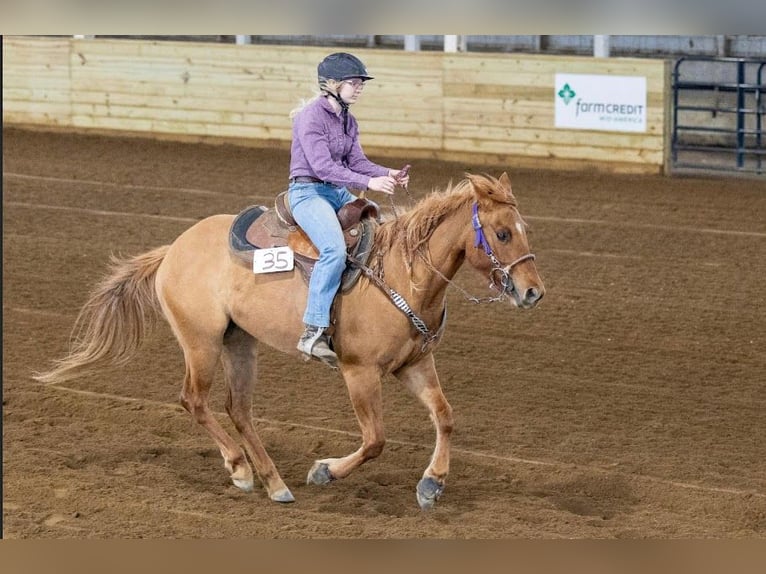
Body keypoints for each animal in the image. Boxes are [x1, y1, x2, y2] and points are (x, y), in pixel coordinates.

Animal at [34, 172, 545, 510]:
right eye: (502, 232)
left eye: (525, 230)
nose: (533, 292)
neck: (402, 272)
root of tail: (173, 249)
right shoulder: (359, 372)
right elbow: (375, 439)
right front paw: (324, 471)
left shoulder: (414, 365)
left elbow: (445, 416)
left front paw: (432, 483)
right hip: (201, 342)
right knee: (194, 400)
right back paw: (241, 470)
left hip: (239, 343)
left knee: (238, 408)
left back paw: (273, 482)